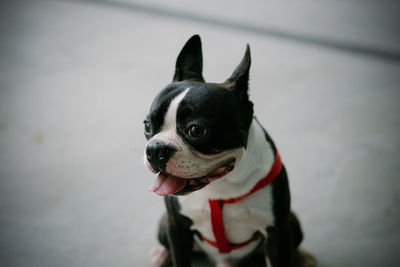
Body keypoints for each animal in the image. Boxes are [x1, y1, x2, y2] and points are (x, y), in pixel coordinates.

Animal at [144, 35, 316, 267]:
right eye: (147, 125)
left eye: (196, 130)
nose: (155, 149)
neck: (221, 187)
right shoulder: (176, 226)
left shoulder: (277, 232)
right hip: (164, 224)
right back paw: (161, 255)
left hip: (292, 222)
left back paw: (302, 256)